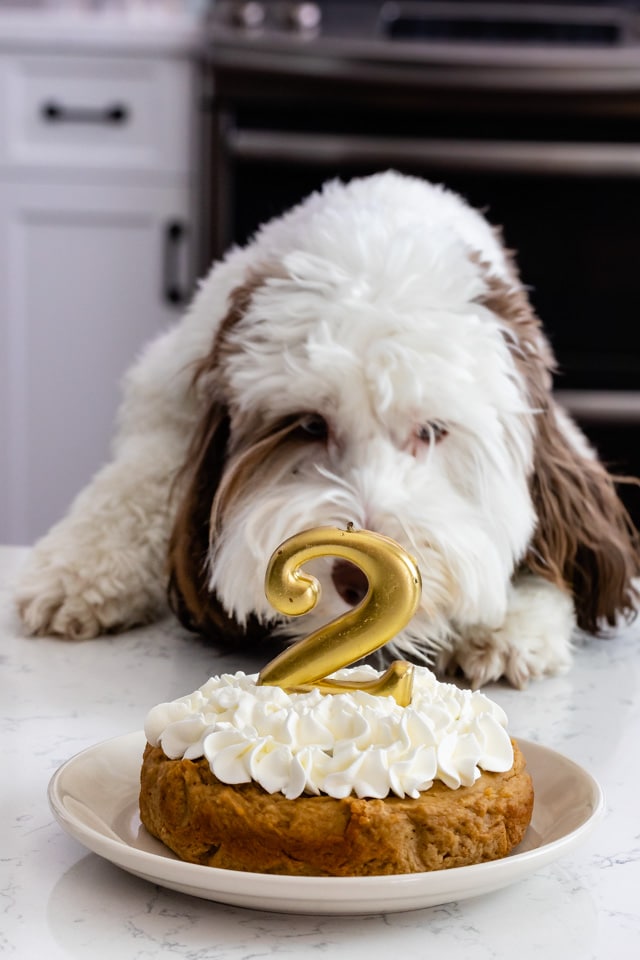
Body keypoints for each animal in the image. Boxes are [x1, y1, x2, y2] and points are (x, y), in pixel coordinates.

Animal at [15, 172, 640, 688]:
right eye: (310, 424)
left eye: (432, 431)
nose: (358, 581)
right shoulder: (168, 395)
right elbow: (132, 485)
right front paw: (72, 574)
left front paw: (510, 625)